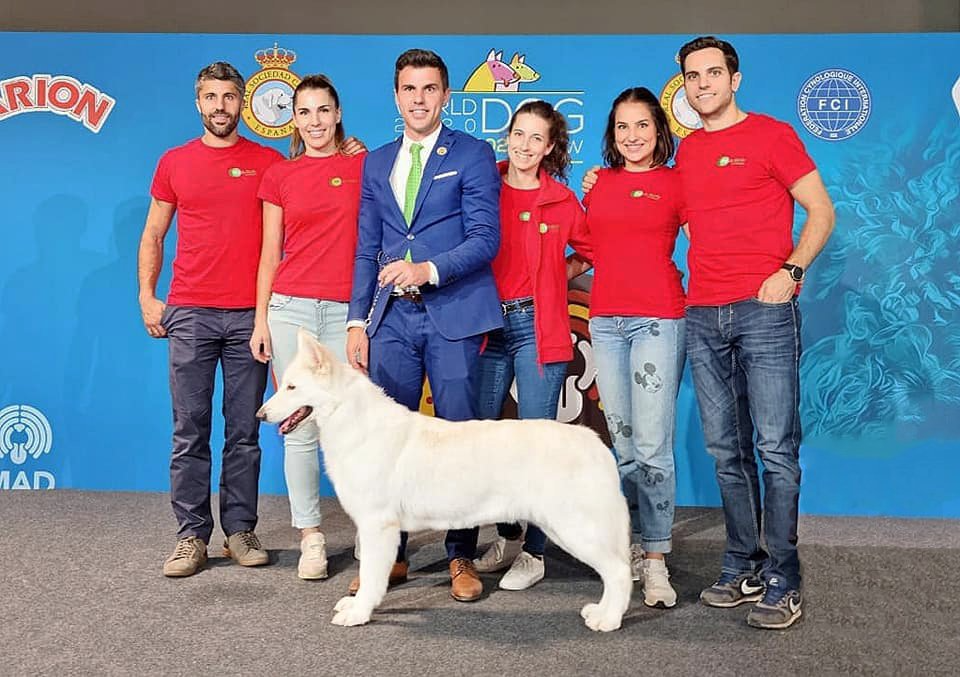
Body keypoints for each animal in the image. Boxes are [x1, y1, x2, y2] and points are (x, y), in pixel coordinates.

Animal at [257, 329, 633, 631]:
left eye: (292, 387)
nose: (260, 414)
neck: (350, 420)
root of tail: (595, 442)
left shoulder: (377, 526)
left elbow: (370, 576)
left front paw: (359, 613)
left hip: (576, 529)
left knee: (618, 572)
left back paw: (609, 620)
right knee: (613, 573)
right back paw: (601, 612)